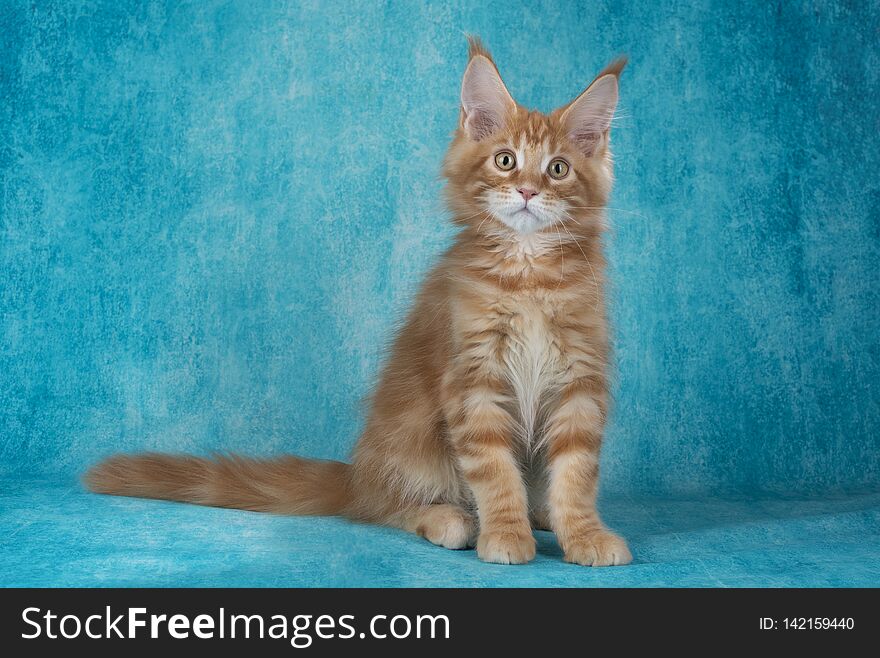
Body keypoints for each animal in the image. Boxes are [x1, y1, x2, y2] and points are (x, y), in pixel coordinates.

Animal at [84, 38, 632, 568]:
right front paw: (505, 534)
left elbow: (575, 475)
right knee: (386, 509)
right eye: (505, 160)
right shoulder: (473, 381)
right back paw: (452, 519)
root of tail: (358, 474)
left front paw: (583, 534)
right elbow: (495, 472)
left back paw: (541, 515)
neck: (528, 275)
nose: (526, 191)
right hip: (412, 446)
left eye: (557, 169)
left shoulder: (580, 379)